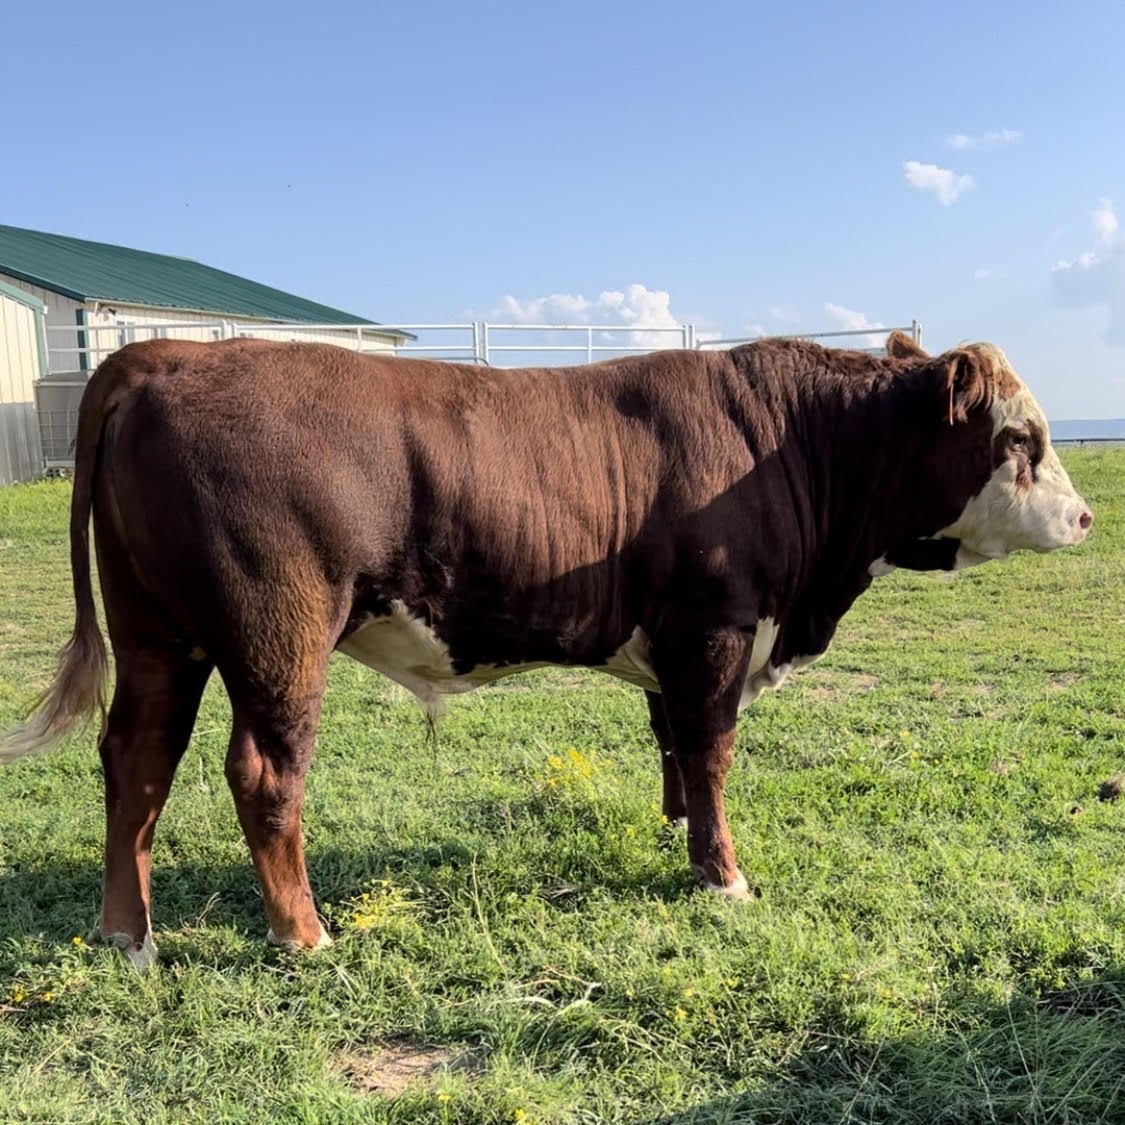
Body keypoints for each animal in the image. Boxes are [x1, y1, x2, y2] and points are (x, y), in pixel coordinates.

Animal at [0, 331, 1092, 969]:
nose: (1085, 518)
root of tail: (170, 350)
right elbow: (712, 752)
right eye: (1019, 437)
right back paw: (303, 934)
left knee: (137, 758)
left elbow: (673, 745)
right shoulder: (717, 627)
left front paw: (678, 835)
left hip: (159, 631)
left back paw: (128, 934)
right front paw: (724, 875)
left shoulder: (674, 641)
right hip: (280, 628)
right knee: (262, 771)